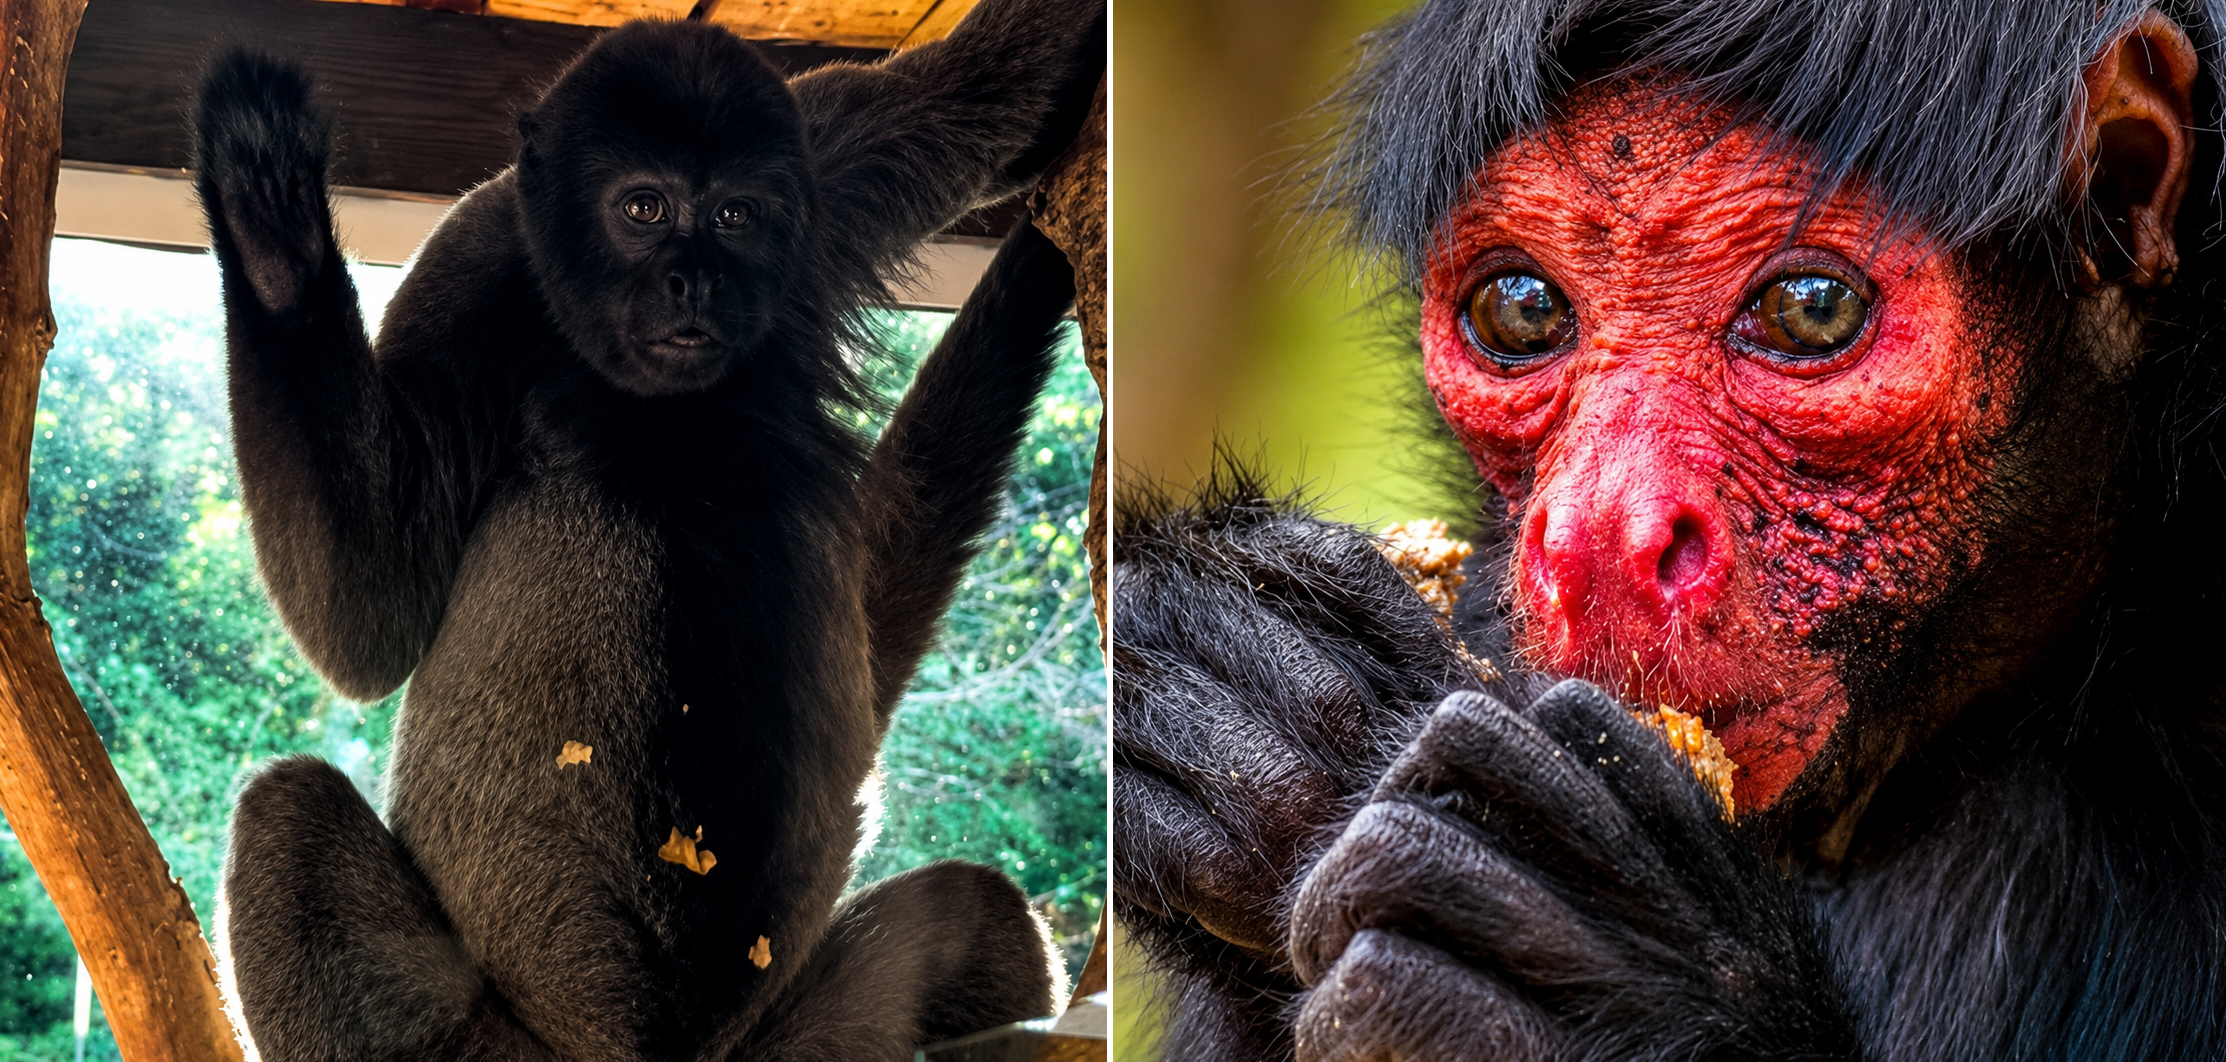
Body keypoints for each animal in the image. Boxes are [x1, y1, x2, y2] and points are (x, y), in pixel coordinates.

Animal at [194, 4, 1103, 1059]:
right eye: (642, 210)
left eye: (734, 217)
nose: (692, 283)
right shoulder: (479, 248)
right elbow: (369, 618)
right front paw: (273, 236)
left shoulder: (823, 162)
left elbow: (1005, 91)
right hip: (492, 1045)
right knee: (289, 814)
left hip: (798, 1039)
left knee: (979, 917)